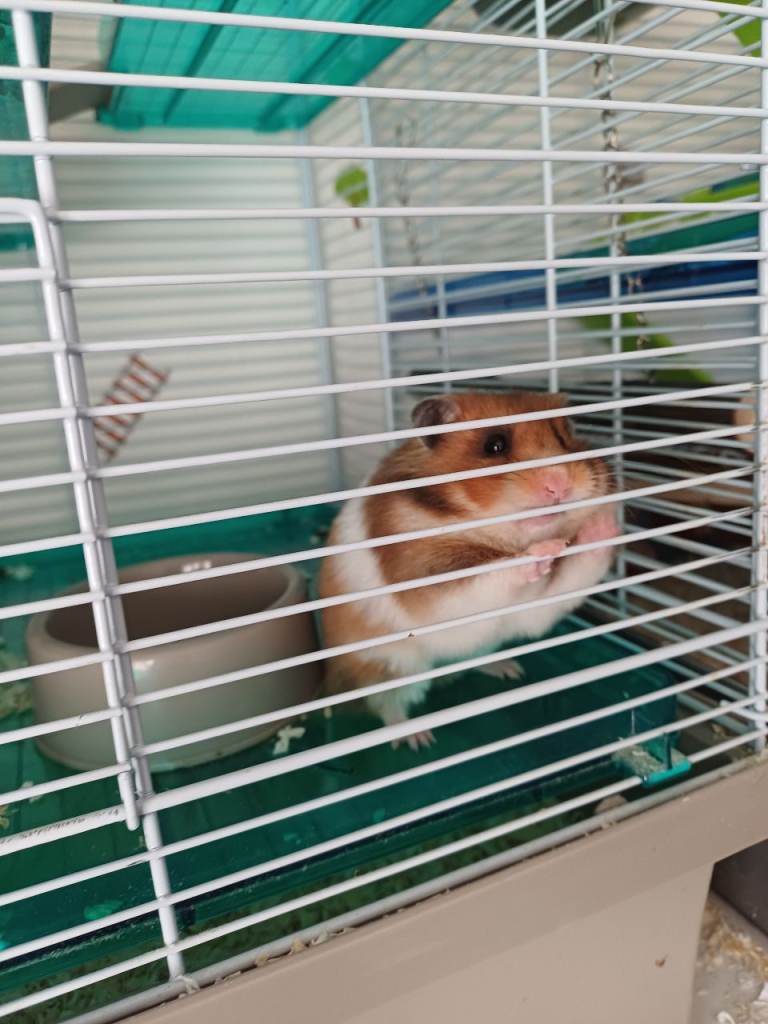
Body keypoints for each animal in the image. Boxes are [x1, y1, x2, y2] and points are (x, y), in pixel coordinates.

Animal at [318, 391, 619, 750]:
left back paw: (510, 669)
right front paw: (544, 551)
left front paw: (604, 520)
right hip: (386, 667)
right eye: (495, 445)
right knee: (388, 706)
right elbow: (486, 576)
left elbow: (573, 574)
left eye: (564, 436)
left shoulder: (537, 605)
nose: (559, 484)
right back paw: (418, 739)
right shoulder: (431, 582)